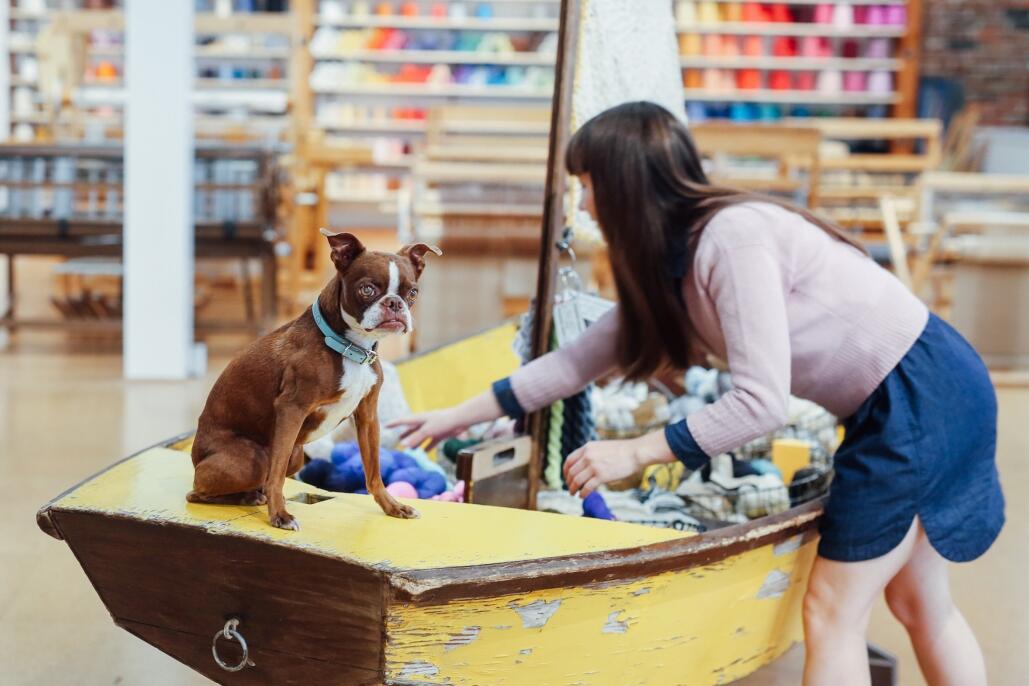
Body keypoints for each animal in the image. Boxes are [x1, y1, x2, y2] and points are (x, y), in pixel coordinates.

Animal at [187, 230, 440, 530]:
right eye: (367, 289)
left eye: (412, 293)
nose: (394, 303)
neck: (350, 347)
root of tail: (195, 457)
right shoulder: (291, 409)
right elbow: (276, 476)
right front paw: (279, 514)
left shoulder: (367, 416)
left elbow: (374, 471)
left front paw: (392, 506)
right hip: (251, 459)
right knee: (199, 491)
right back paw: (247, 497)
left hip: (296, 456)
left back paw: (253, 495)